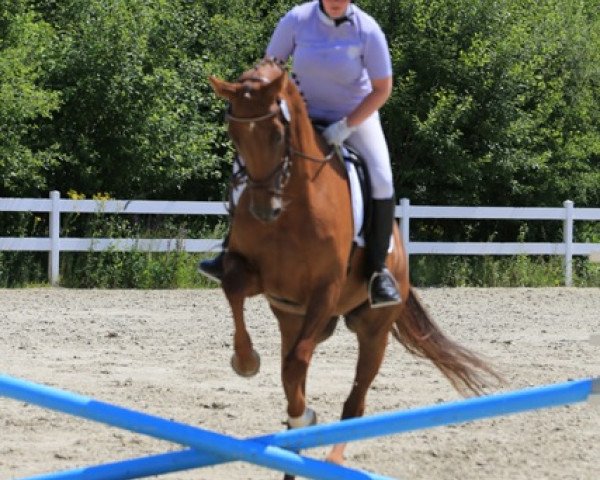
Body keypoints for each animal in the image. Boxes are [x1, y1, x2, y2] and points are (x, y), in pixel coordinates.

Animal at [209, 59, 500, 476]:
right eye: (234, 135)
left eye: (278, 134)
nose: (265, 210)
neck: (292, 203)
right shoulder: (256, 276)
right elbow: (234, 289)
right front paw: (246, 362)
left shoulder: (324, 291)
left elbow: (296, 364)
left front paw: (303, 415)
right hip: (294, 318)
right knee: (295, 367)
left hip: (372, 331)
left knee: (352, 402)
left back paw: (329, 455)